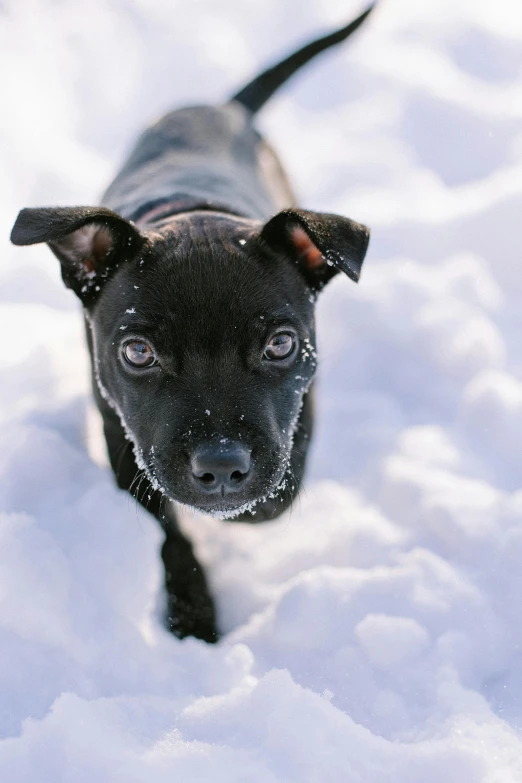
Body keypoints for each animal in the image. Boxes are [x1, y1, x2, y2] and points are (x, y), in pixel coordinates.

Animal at [10, 4, 372, 644]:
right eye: (138, 352)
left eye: (281, 344)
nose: (222, 466)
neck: (192, 215)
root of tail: (221, 107)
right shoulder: (120, 429)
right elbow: (166, 531)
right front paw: (192, 612)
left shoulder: (303, 401)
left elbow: (280, 481)